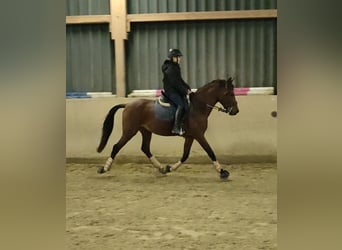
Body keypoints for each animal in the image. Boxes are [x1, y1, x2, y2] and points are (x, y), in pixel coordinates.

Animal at [97, 77, 240, 179]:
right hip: (129, 131)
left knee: (145, 148)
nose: (236, 111)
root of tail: (127, 104)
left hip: (146, 131)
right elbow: (210, 152)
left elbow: (185, 155)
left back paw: (161, 168)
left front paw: (169, 168)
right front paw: (222, 171)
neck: (197, 107)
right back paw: (104, 168)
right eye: (229, 94)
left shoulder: (190, 137)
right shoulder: (199, 135)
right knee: (116, 146)